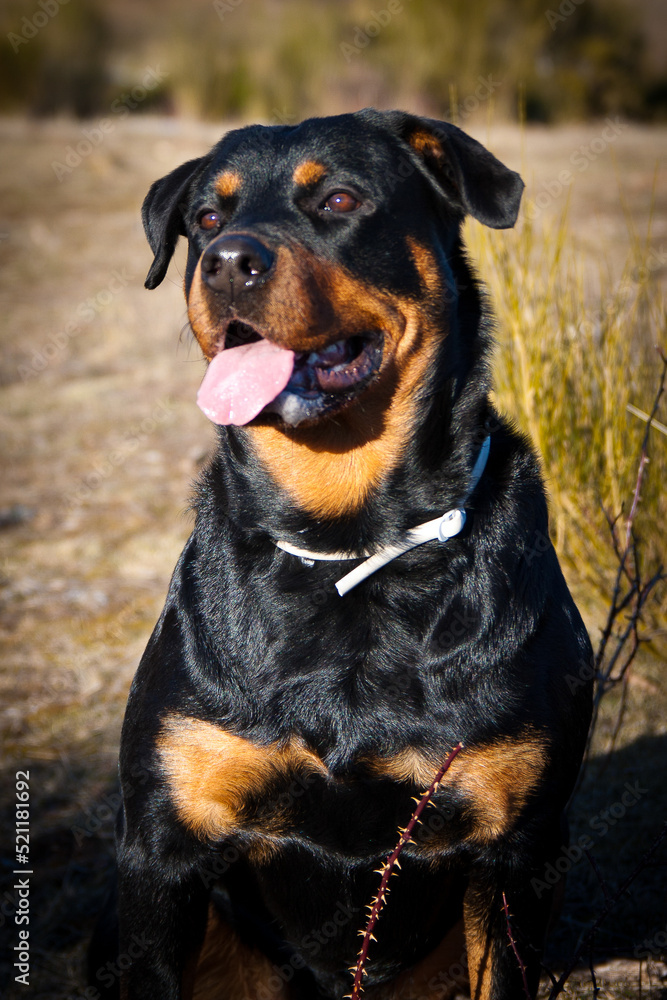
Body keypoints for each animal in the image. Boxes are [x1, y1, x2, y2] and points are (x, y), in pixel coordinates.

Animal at [103, 111, 596, 1000]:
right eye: (207, 218)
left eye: (337, 199)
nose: (228, 261)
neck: (348, 542)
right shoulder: (162, 848)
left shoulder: (517, 847)